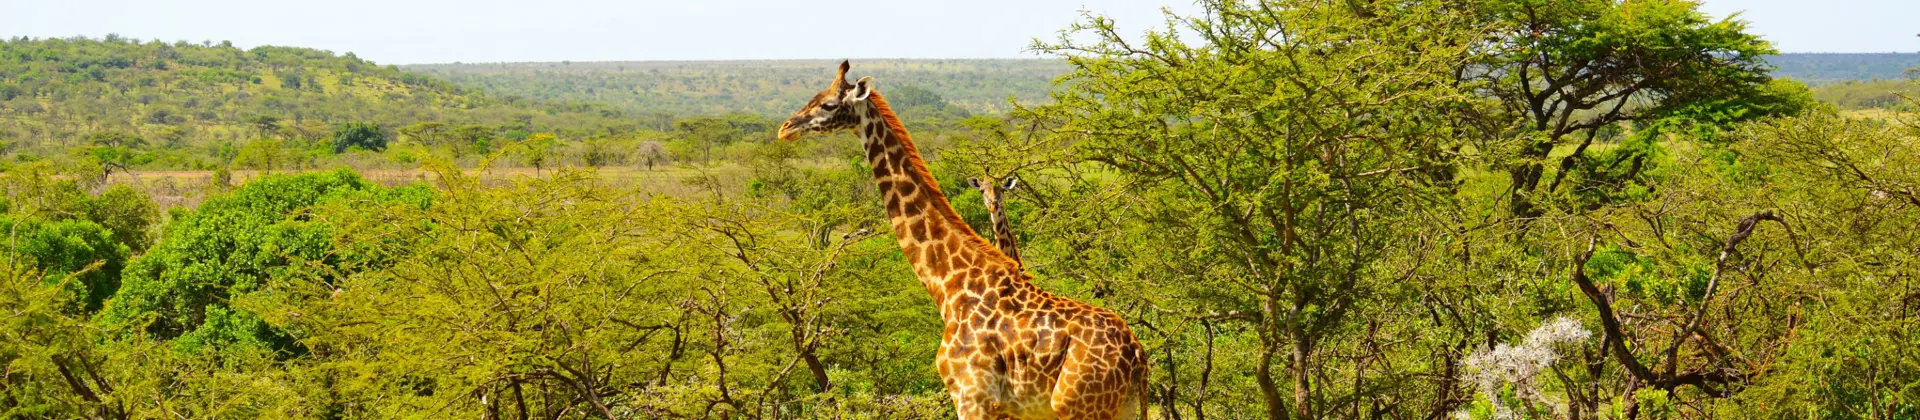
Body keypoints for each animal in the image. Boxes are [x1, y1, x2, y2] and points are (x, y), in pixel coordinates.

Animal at [779, 61, 1148, 420]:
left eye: (828, 104)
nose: (785, 128)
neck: (949, 284)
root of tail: (1137, 354)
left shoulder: (973, 397)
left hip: (1079, 408)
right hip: (1120, 408)